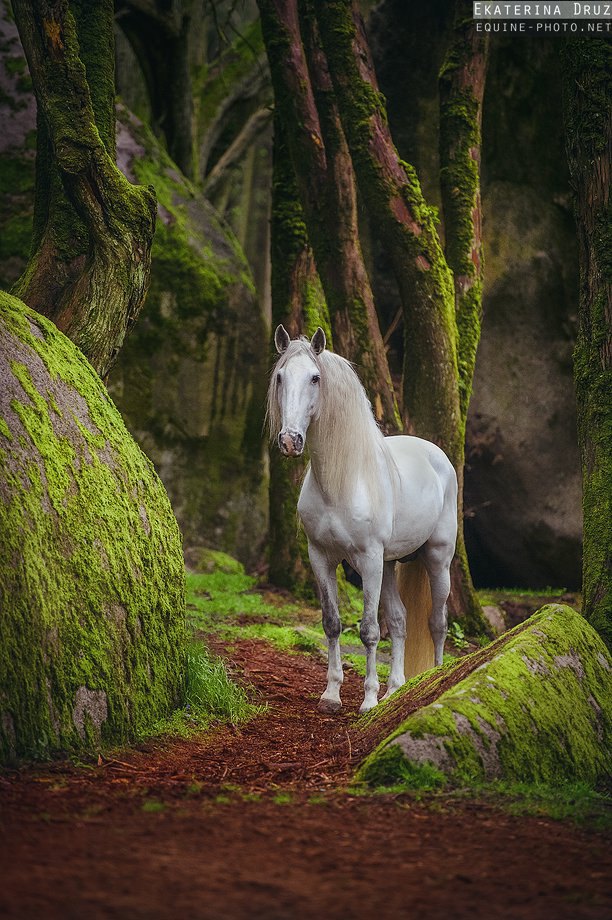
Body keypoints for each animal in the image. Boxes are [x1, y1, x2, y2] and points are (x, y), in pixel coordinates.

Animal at [266, 328, 456, 716]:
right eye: (280, 377)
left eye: (315, 377)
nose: (290, 441)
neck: (340, 483)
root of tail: (436, 454)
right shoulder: (321, 557)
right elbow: (332, 623)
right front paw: (332, 695)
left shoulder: (368, 559)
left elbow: (369, 630)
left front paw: (367, 701)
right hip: (390, 565)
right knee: (400, 621)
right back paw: (396, 689)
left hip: (436, 559)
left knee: (437, 622)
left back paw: (431, 678)